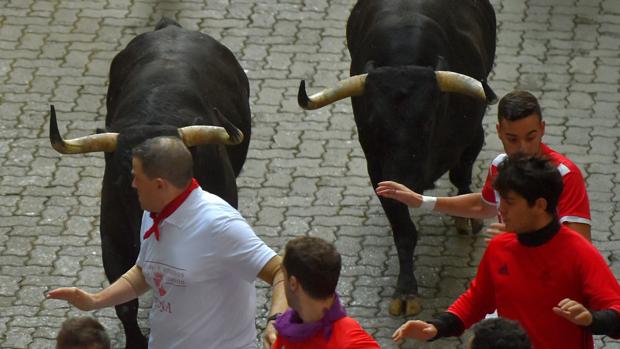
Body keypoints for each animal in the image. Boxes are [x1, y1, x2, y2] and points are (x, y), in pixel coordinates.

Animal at [298, 0, 496, 316]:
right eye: (373, 123)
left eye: (427, 121)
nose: (404, 180)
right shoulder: (379, 170)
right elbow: (404, 230)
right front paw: (405, 291)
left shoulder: (472, 134)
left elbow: (461, 172)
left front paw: (465, 215)